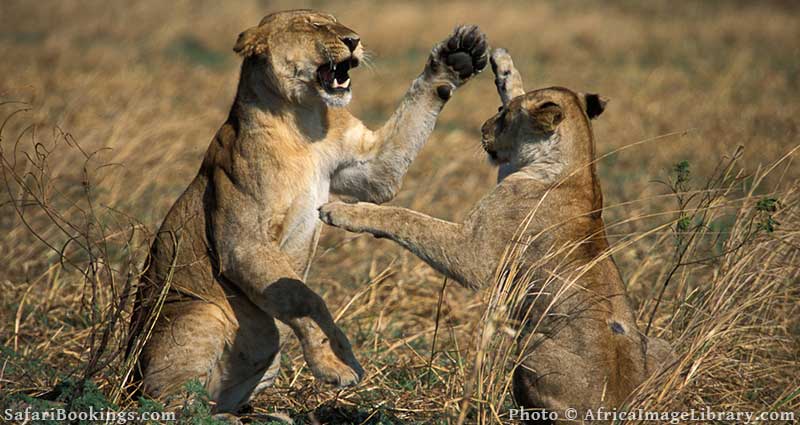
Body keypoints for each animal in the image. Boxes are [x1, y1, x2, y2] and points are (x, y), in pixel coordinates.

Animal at [128, 9, 488, 415]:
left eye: (336, 21)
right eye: (311, 24)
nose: (353, 40)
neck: (302, 121)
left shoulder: (371, 169)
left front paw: (457, 57)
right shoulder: (242, 242)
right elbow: (304, 297)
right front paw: (336, 365)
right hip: (200, 317)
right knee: (168, 404)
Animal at [319, 48, 674, 423]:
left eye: (503, 116)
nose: (482, 128)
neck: (581, 161)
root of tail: (621, 408)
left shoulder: (474, 252)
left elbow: (409, 219)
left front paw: (341, 210)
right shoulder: (509, 169)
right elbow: (518, 86)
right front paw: (502, 64)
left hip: (530, 354)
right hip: (661, 345)